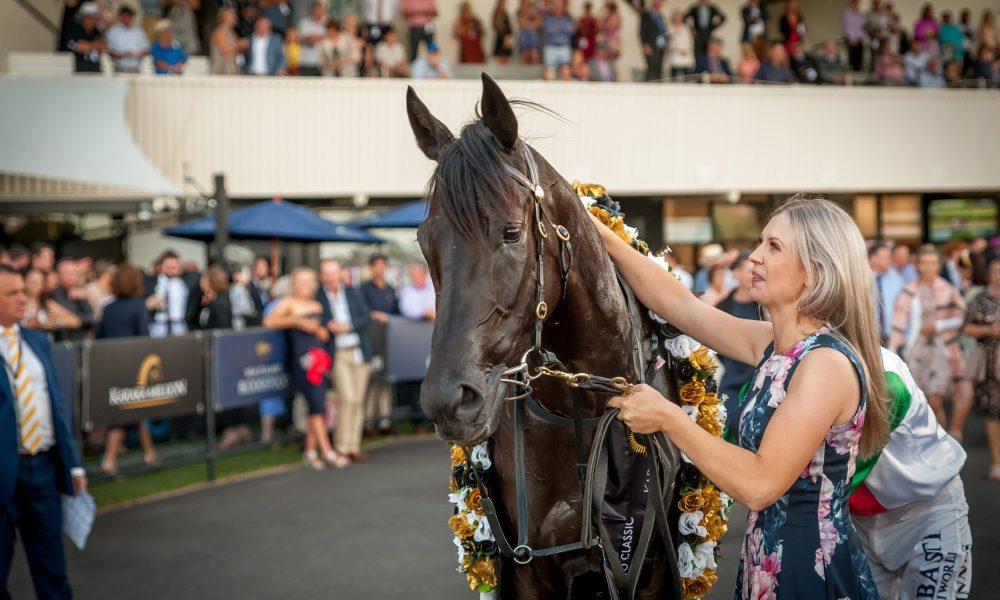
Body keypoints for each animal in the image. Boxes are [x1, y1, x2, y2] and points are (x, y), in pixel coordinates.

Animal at [407, 74, 683, 600]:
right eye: (423, 241)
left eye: (512, 232)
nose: (447, 401)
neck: (584, 414)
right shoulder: (532, 571)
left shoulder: (654, 568)